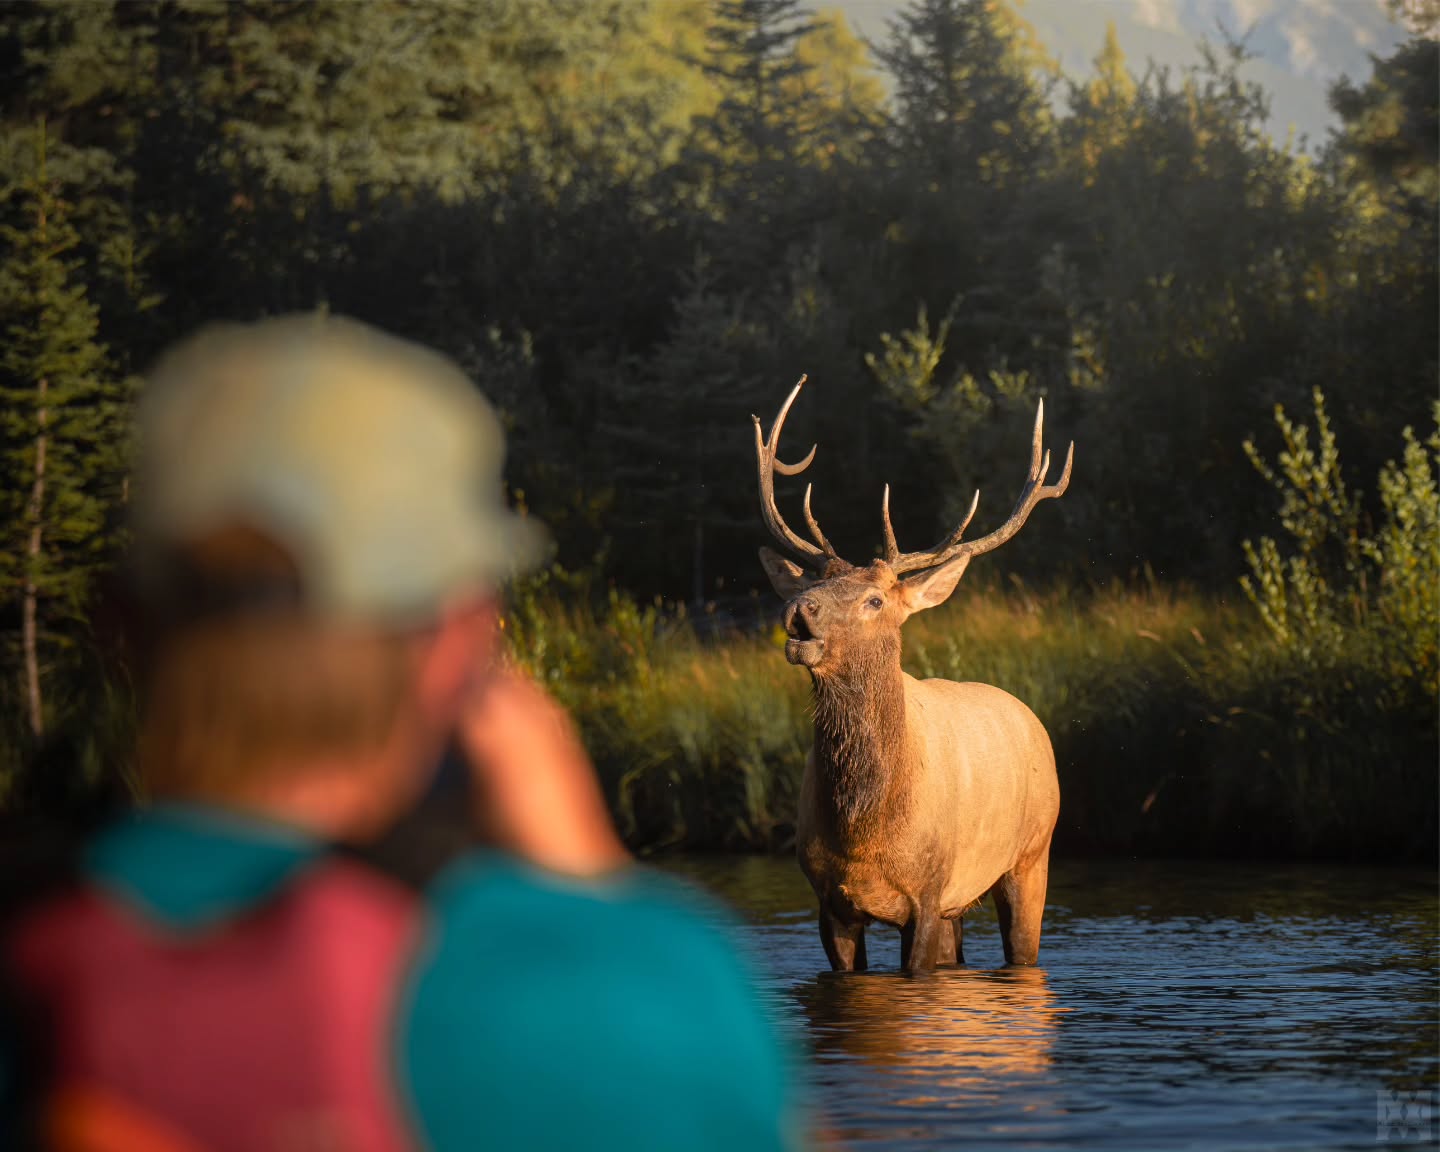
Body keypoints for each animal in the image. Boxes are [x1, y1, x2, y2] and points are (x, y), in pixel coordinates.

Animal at [752, 376, 1071, 973]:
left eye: (875, 600)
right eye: (815, 582)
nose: (799, 611)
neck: (864, 833)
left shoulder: (928, 889)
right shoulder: (829, 901)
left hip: (1031, 856)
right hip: (961, 903)